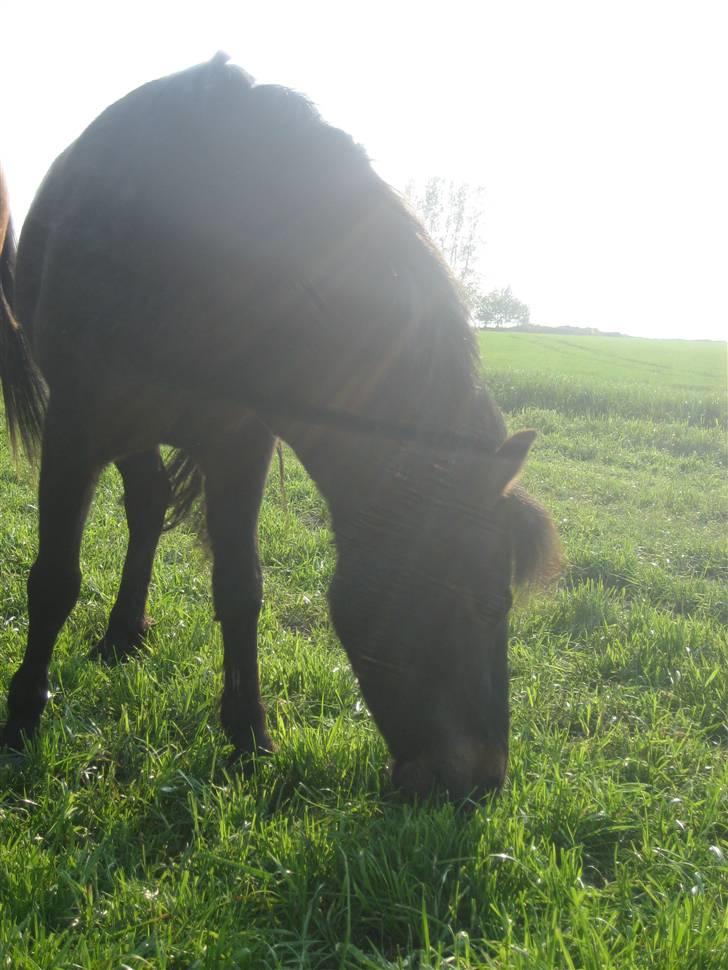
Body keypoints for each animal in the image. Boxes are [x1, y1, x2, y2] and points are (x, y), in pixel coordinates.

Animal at [0, 54, 561, 799]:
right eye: (493, 604)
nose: (481, 785)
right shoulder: (76, 427)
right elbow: (54, 582)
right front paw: (21, 719)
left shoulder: (241, 444)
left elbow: (241, 589)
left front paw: (250, 735)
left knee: (149, 505)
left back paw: (124, 634)